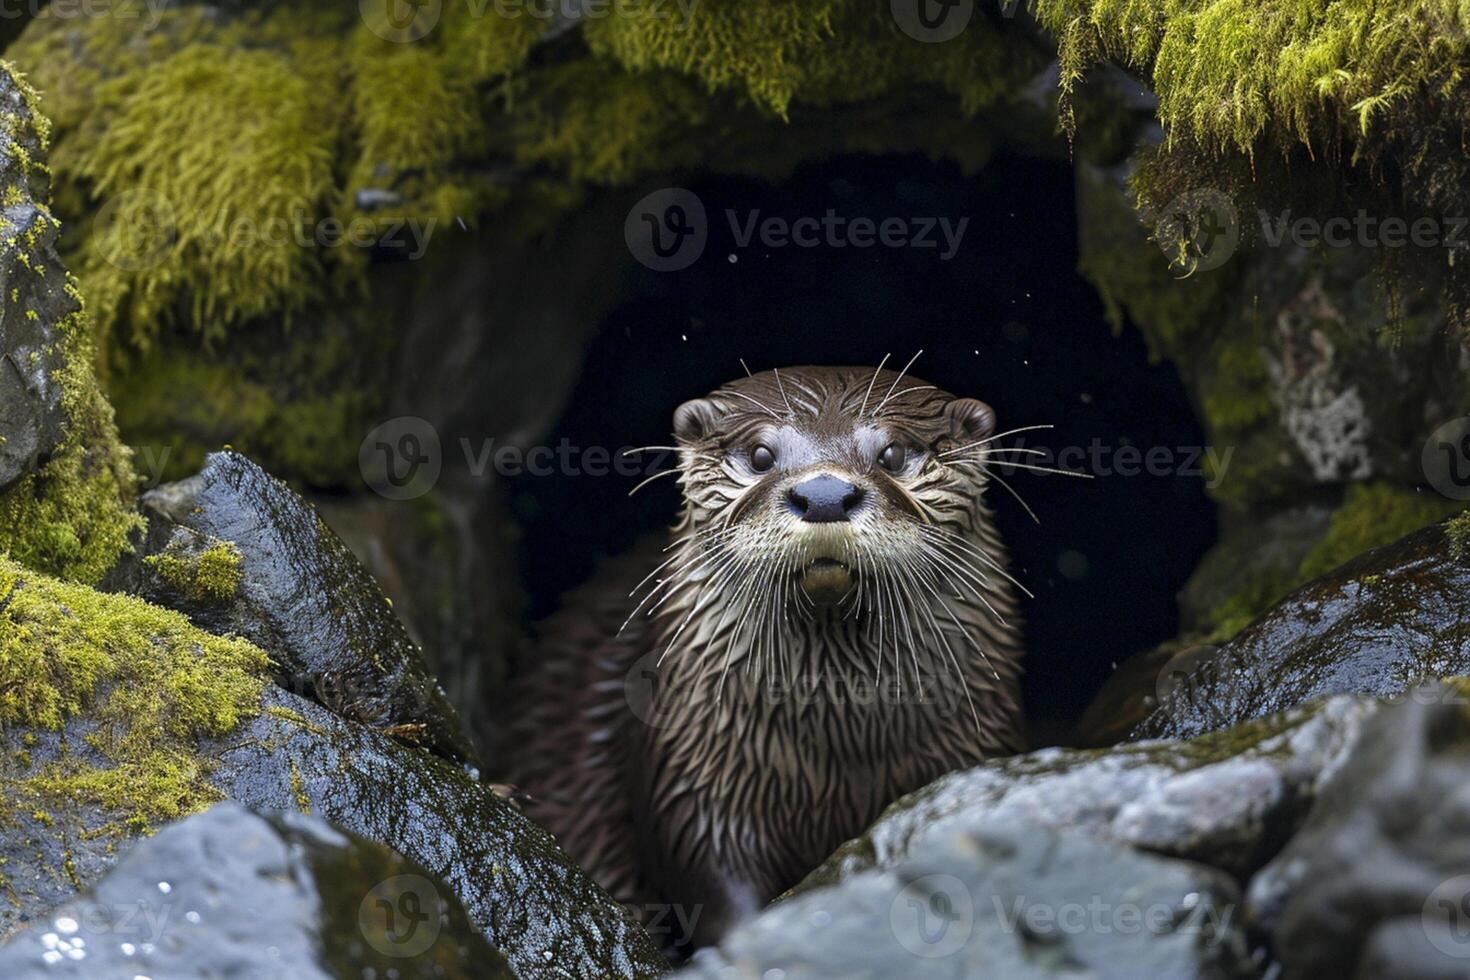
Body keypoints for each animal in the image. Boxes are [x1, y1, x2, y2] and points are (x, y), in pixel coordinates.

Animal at [511, 364, 1029, 946]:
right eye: (761, 455)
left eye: (893, 453)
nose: (824, 494)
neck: (840, 748)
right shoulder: (692, 779)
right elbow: (711, 885)